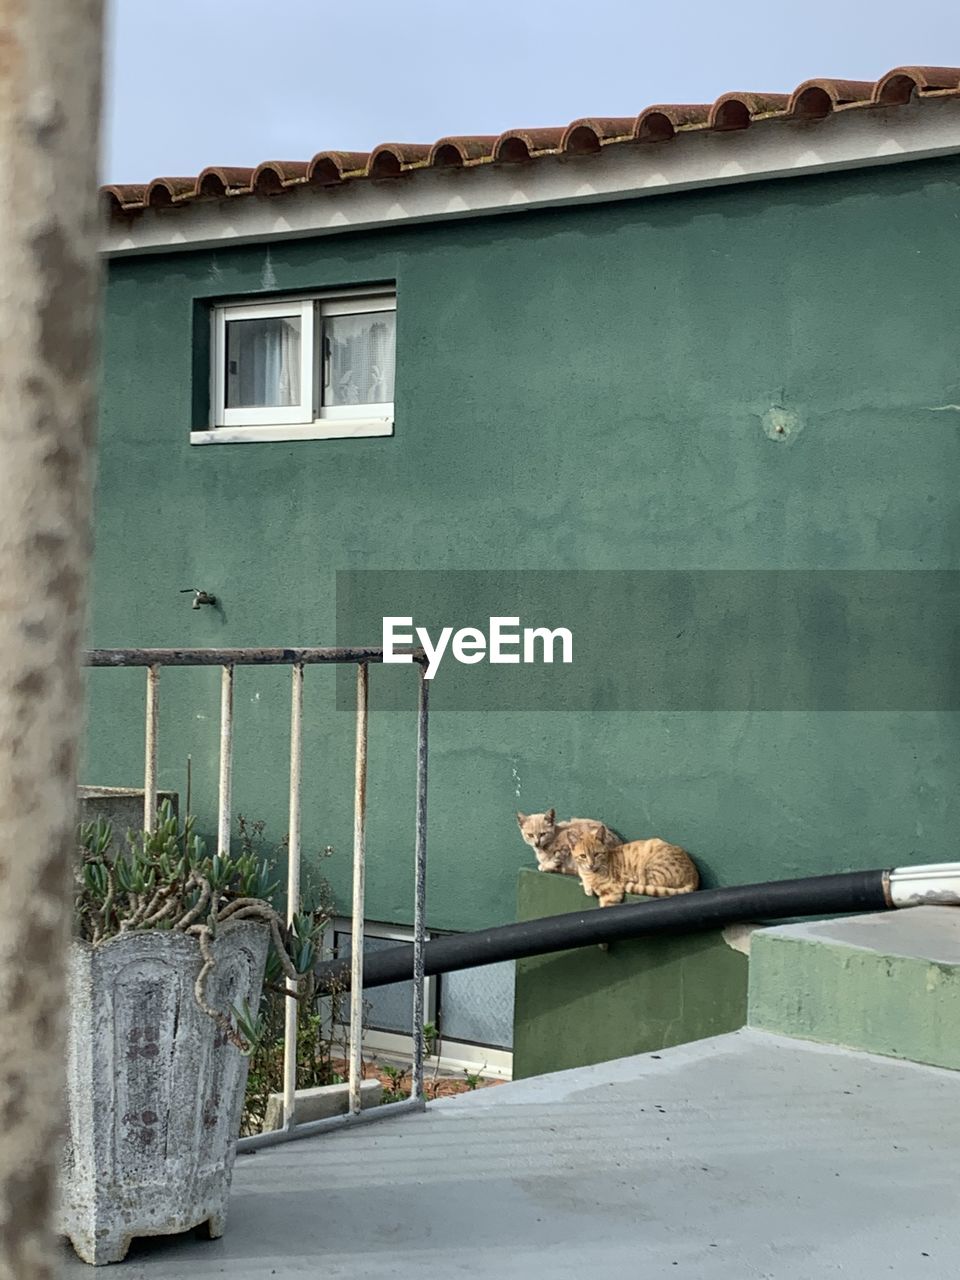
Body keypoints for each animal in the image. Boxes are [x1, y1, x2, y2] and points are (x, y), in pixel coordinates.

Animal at [570, 824, 701, 906]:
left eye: (597, 854)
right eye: (583, 856)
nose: (591, 864)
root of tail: (694, 876)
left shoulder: (612, 893)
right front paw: (585, 885)